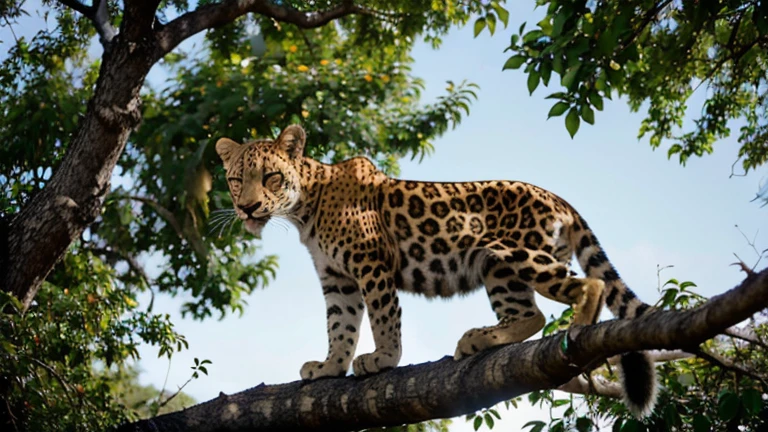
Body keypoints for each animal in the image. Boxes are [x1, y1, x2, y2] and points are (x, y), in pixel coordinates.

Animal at [218, 123, 660, 416]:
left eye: (271, 176)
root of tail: (557, 197)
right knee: (529, 314)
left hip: (519, 251)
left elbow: (382, 316)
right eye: (237, 179)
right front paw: (330, 368)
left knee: (589, 285)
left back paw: (575, 338)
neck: (306, 208)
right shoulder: (337, 279)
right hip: (497, 266)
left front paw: (384, 358)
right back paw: (480, 339)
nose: (248, 208)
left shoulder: (370, 262)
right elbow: (340, 327)